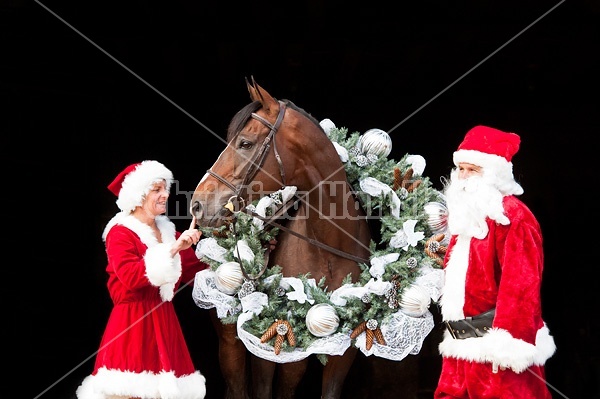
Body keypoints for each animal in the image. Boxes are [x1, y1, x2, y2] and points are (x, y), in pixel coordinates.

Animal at [190, 77, 372, 396]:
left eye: (245, 143)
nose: (198, 204)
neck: (330, 249)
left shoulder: (343, 354)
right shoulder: (270, 350)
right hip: (232, 344)